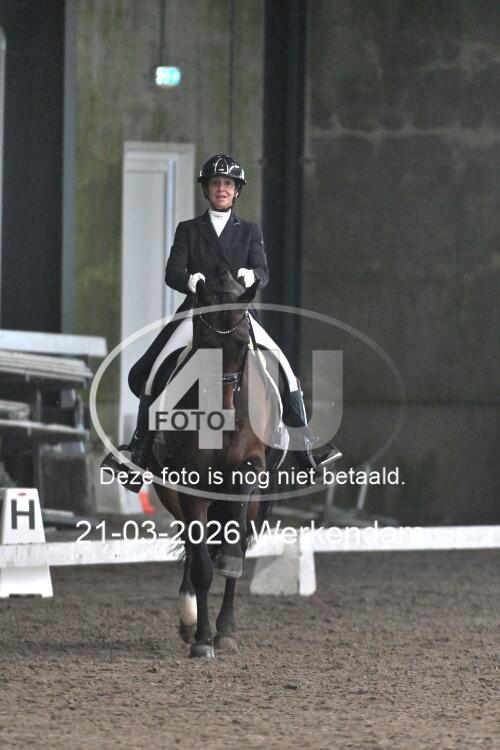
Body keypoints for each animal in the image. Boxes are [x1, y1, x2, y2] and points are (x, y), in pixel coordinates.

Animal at [148, 268, 281, 658]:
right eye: (204, 344)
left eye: (240, 344)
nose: (220, 413)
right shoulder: (189, 486)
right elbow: (202, 567)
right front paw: (201, 639)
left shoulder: (253, 467)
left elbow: (231, 545)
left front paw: (230, 563)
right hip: (174, 494)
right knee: (194, 548)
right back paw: (191, 619)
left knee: (234, 540)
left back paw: (225, 627)